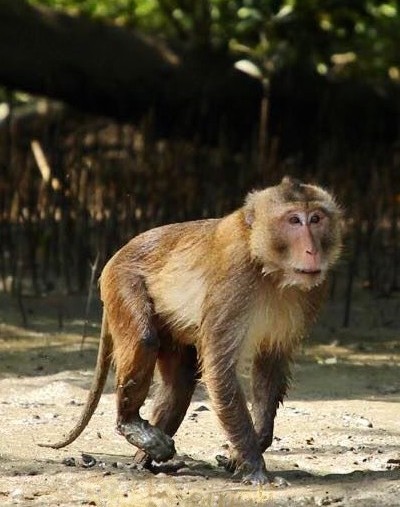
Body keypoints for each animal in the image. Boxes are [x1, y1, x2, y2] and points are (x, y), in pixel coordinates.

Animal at [39, 177, 340, 486]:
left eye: (316, 219)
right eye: (294, 220)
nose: (312, 251)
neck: (268, 267)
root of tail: (117, 254)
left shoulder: (313, 292)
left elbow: (270, 364)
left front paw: (249, 449)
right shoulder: (234, 277)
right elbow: (219, 369)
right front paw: (255, 467)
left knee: (181, 381)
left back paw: (143, 460)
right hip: (121, 281)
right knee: (145, 340)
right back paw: (130, 424)